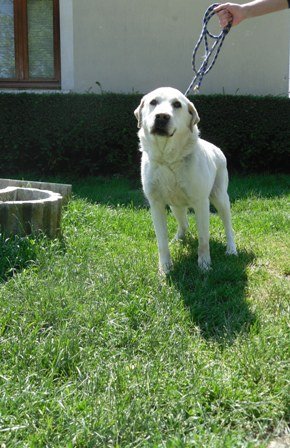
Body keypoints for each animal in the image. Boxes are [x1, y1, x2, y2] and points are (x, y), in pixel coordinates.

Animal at [135, 86, 237, 272]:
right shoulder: (156, 204)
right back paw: (178, 240)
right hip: (175, 205)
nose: (161, 116)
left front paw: (204, 265)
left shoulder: (201, 203)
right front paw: (165, 268)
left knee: (228, 226)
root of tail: (216, 148)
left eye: (177, 104)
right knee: (184, 224)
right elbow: (161, 242)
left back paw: (231, 249)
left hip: (220, 198)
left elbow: (203, 239)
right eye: (153, 102)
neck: (168, 159)